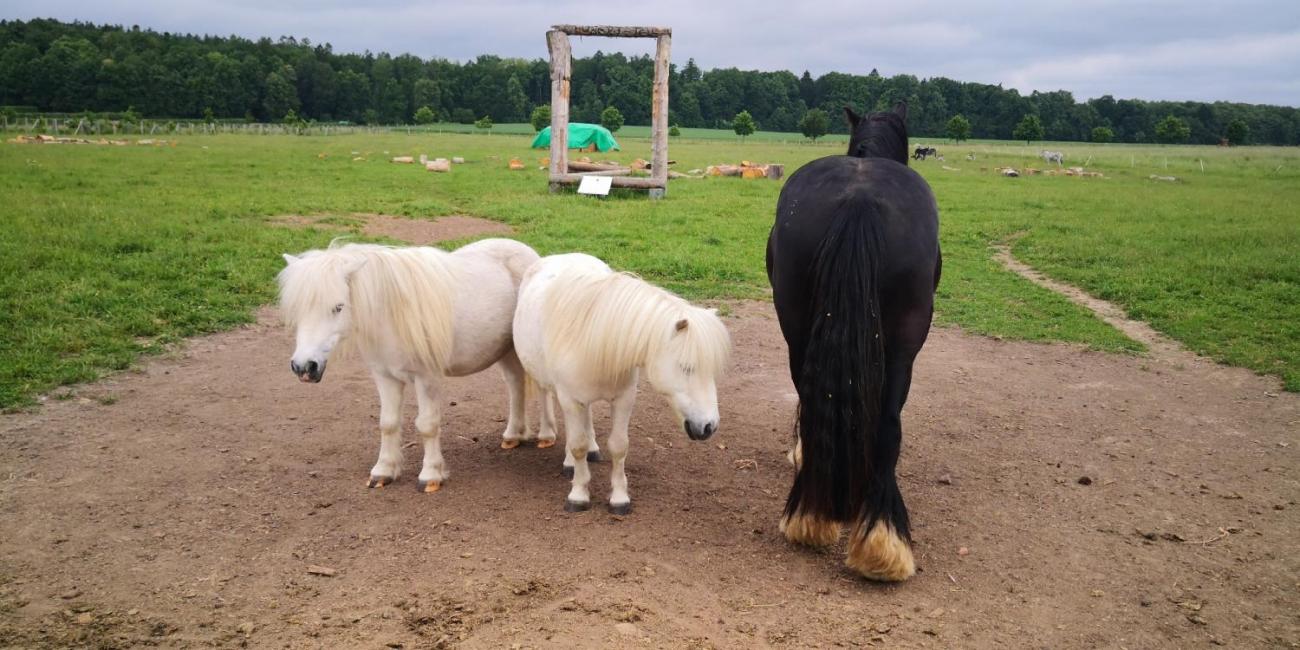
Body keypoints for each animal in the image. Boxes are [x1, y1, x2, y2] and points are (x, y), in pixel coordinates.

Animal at [276, 239, 546, 491]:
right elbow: (387, 423)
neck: (391, 315)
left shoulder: (427, 379)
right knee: (515, 386)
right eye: (298, 309)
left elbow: (427, 425)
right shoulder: (385, 377)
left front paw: (431, 475)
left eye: (338, 306)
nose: (304, 366)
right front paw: (383, 471)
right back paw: (513, 435)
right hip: (506, 352)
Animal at [509, 252, 733, 512]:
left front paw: (619, 497)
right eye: (687, 367)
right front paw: (578, 494)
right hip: (549, 383)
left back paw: (592, 449)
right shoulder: (571, 399)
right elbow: (577, 445)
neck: (592, 337)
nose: (709, 427)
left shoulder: (624, 399)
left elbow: (618, 446)